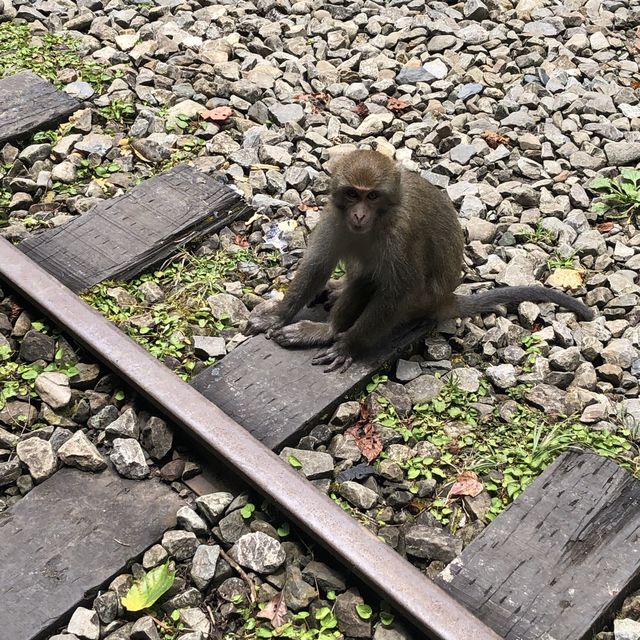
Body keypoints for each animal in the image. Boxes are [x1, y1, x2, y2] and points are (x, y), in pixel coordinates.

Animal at [246, 148, 596, 372]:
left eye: (373, 196)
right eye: (352, 194)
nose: (359, 215)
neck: (379, 220)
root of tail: (445, 299)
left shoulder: (401, 235)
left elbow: (400, 289)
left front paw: (347, 346)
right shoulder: (334, 217)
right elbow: (317, 265)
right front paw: (278, 315)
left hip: (422, 302)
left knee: (372, 280)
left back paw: (329, 331)